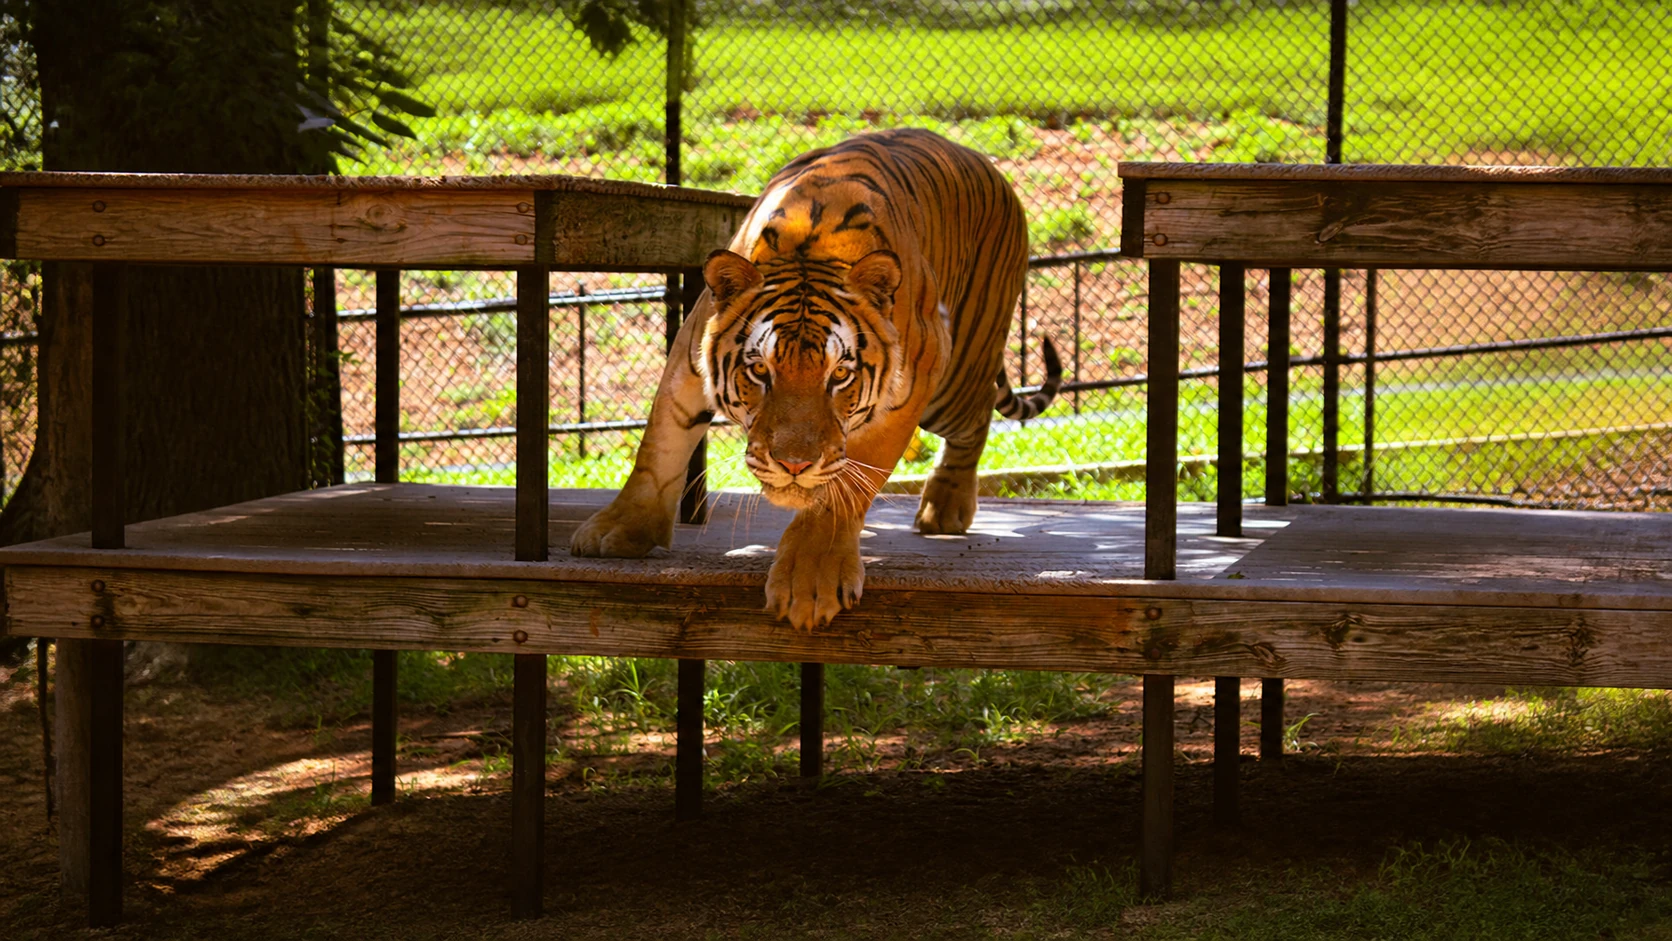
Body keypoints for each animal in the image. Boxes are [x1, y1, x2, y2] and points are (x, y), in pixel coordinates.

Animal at [570, 127, 1062, 630]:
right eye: (760, 369)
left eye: (839, 374)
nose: (793, 465)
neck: (809, 246)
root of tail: (980, 159)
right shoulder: (688, 358)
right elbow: (659, 446)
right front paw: (619, 529)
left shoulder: (908, 394)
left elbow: (842, 491)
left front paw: (807, 584)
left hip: (954, 381)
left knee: (979, 417)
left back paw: (944, 507)